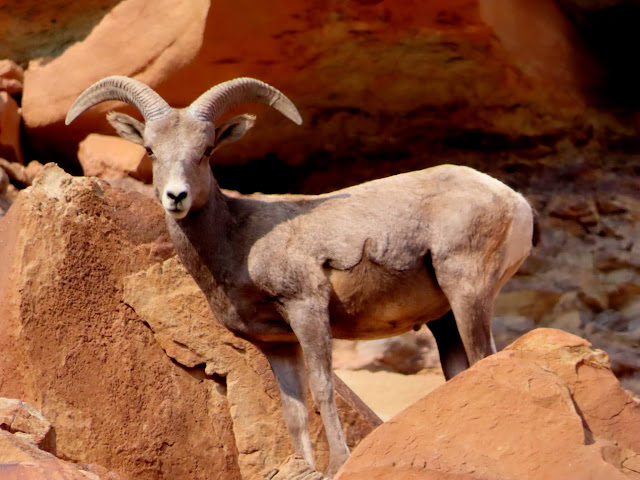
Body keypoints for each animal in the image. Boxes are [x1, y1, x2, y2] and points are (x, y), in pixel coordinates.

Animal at [66, 75, 536, 476]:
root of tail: (514, 202)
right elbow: (292, 411)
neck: (239, 241)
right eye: (150, 150)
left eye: (207, 150)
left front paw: (338, 464)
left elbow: (323, 388)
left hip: (467, 294)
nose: (175, 197)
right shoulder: (278, 344)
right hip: (444, 321)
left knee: (484, 359)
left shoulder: (307, 310)